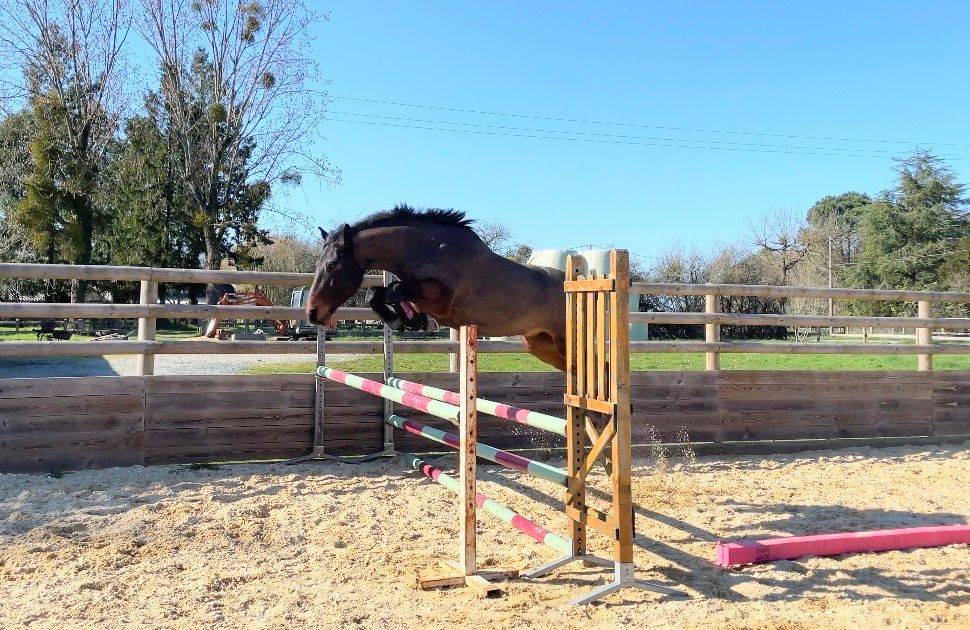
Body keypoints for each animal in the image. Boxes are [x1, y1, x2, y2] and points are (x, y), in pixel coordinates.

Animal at [305, 205, 568, 370]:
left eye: (331, 266)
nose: (312, 313)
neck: (425, 251)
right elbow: (376, 294)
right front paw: (404, 320)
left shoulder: (441, 301)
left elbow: (395, 289)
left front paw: (409, 321)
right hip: (540, 345)